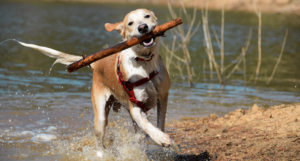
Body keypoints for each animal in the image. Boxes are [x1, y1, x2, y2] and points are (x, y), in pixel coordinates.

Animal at [14, 8, 172, 157]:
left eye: (147, 16)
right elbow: (145, 123)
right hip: (100, 115)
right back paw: (101, 154)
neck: (144, 62)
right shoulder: (135, 105)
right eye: (130, 23)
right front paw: (161, 138)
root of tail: (96, 63)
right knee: (99, 141)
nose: (143, 27)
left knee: (138, 133)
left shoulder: (163, 96)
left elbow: (159, 121)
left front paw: (159, 135)